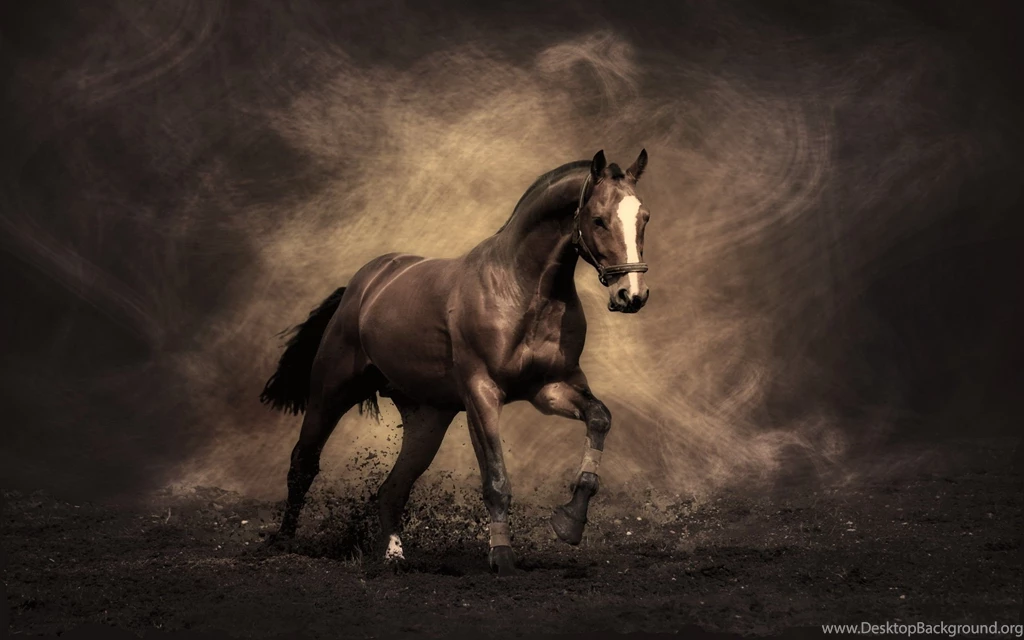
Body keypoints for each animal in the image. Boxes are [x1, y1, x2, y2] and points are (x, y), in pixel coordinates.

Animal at [259, 148, 652, 575]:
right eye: (597, 219)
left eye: (644, 217)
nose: (632, 295)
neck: (522, 290)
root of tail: (362, 286)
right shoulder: (481, 394)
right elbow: (496, 480)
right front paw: (503, 558)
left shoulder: (550, 388)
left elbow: (599, 419)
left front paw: (569, 523)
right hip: (331, 392)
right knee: (303, 464)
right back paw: (284, 542)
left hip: (427, 419)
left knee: (392, 489)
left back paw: (393, 556)